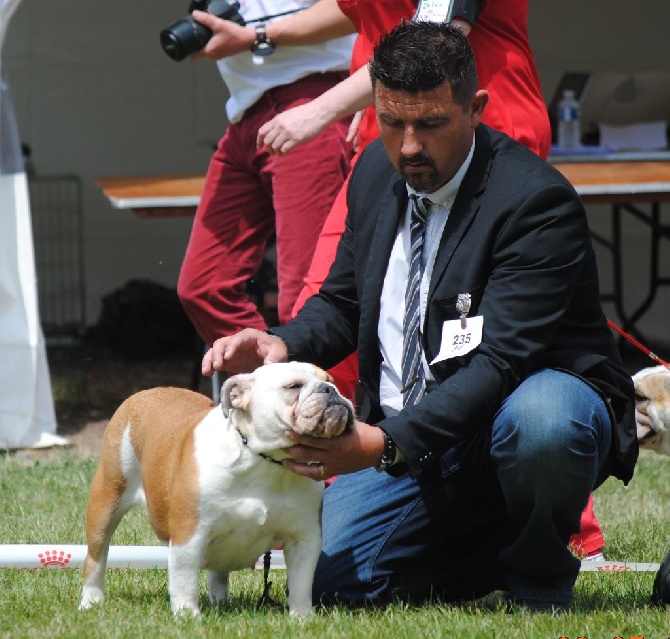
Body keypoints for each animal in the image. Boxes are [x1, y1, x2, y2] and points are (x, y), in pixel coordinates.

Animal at [79, 362, 356, 616]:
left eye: (331, 380)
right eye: (294, 386)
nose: (330, 390)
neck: (267, 462)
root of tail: (144, 394)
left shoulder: (304, 539)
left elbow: (301, 583)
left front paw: (302, 618)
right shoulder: (189, 534)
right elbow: (185, 580)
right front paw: (188, 617)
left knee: (219, 570)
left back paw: (222, 601)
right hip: (108, 497)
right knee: (96, 556)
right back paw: (91, 600)